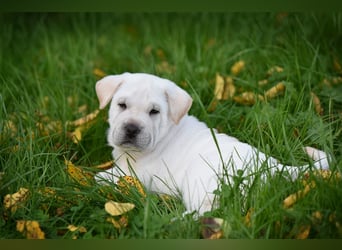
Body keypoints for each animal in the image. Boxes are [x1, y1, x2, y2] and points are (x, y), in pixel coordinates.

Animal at [95, 72, 330, 215]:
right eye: (122, 105)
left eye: (154, 112)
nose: (131, 129)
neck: (165, 133)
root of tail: (275, 167)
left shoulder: (139, 174)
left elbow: (106, 176)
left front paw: (92, 178)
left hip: (203, 179)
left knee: (207, 212)